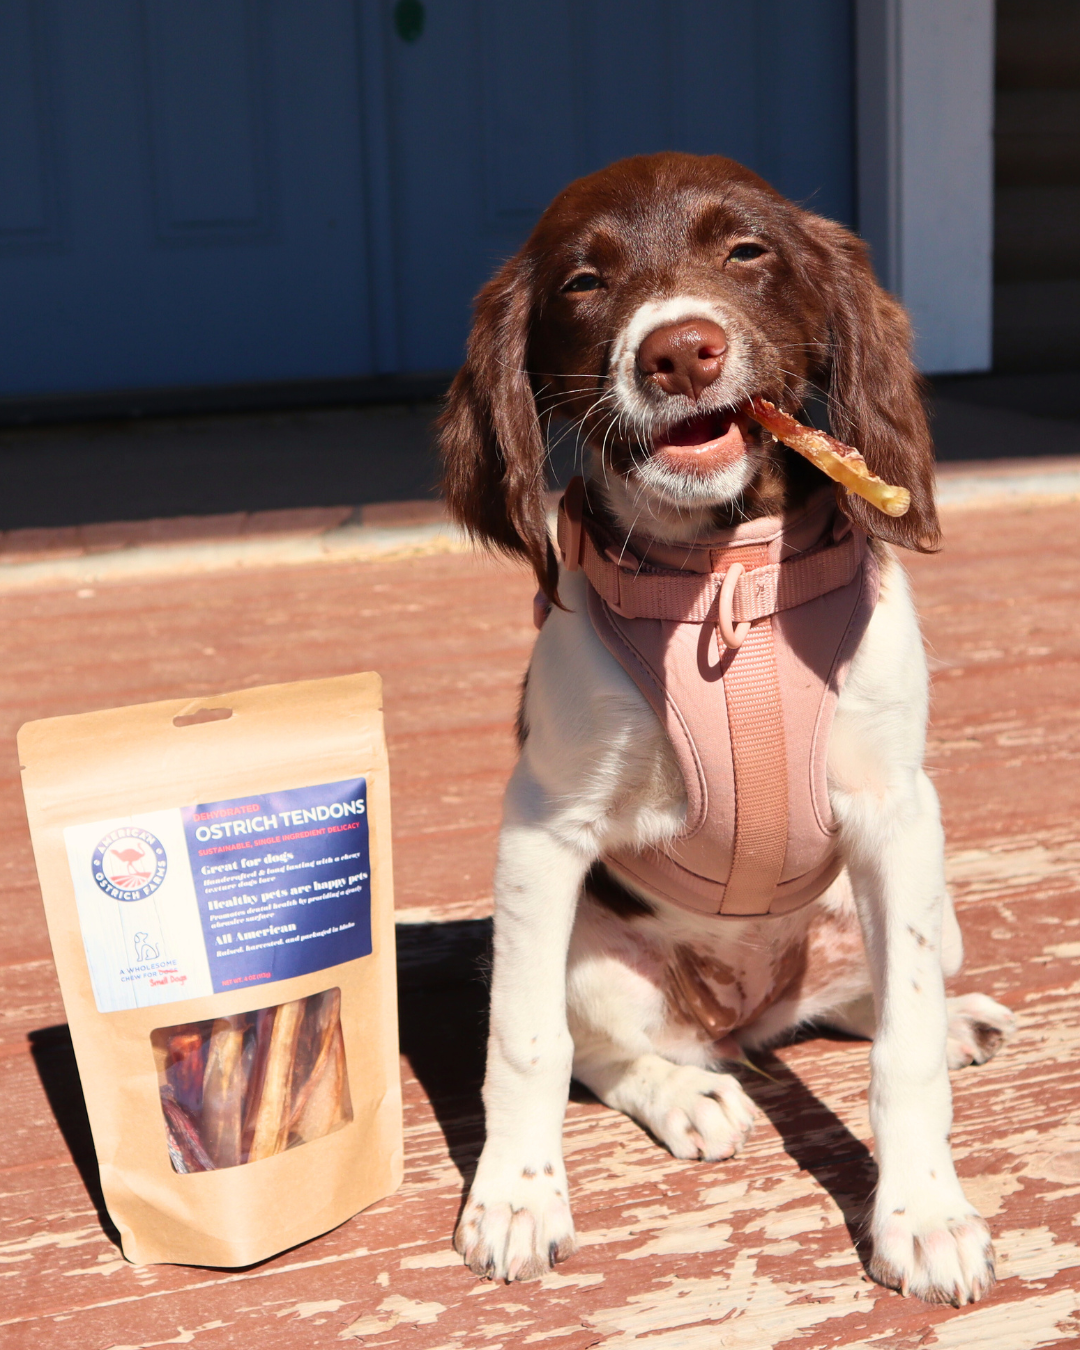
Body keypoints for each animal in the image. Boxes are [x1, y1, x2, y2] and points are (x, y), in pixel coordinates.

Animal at [437, 153, 1015, 1301]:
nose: (678, 350)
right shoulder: (542, 831)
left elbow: (904, 1047)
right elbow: (524, 1042)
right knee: (604, 1048)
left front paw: (925, 1214)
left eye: (747, 252)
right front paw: (516, 1198)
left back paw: (945, 1021)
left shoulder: (897, 814)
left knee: (863, 1000)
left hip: (931, 910)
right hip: (590, 952)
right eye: (583, 283)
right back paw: (690, 1095)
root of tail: (737, 1010)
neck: (722, 576)